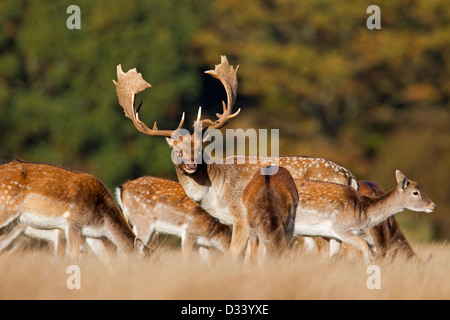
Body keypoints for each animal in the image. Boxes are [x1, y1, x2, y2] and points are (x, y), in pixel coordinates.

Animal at [0, 160, 156, 260]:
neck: (101, 219)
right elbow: (73, 257)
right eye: (148, 263)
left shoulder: (91, 234)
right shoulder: (72, 223)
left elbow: (106, 259)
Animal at [113, 55, 358, 260]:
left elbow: (236, 255)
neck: (216, 193)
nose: (191, 164)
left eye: (201, 147)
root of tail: (349, 176)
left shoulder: (241, 217)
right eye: (178, 150)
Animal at [294, 170, 434, 262]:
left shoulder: (334, 236)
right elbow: (364, 248)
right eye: (415, 192)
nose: (433, 205)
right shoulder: (341, 229)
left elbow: (333, 256)